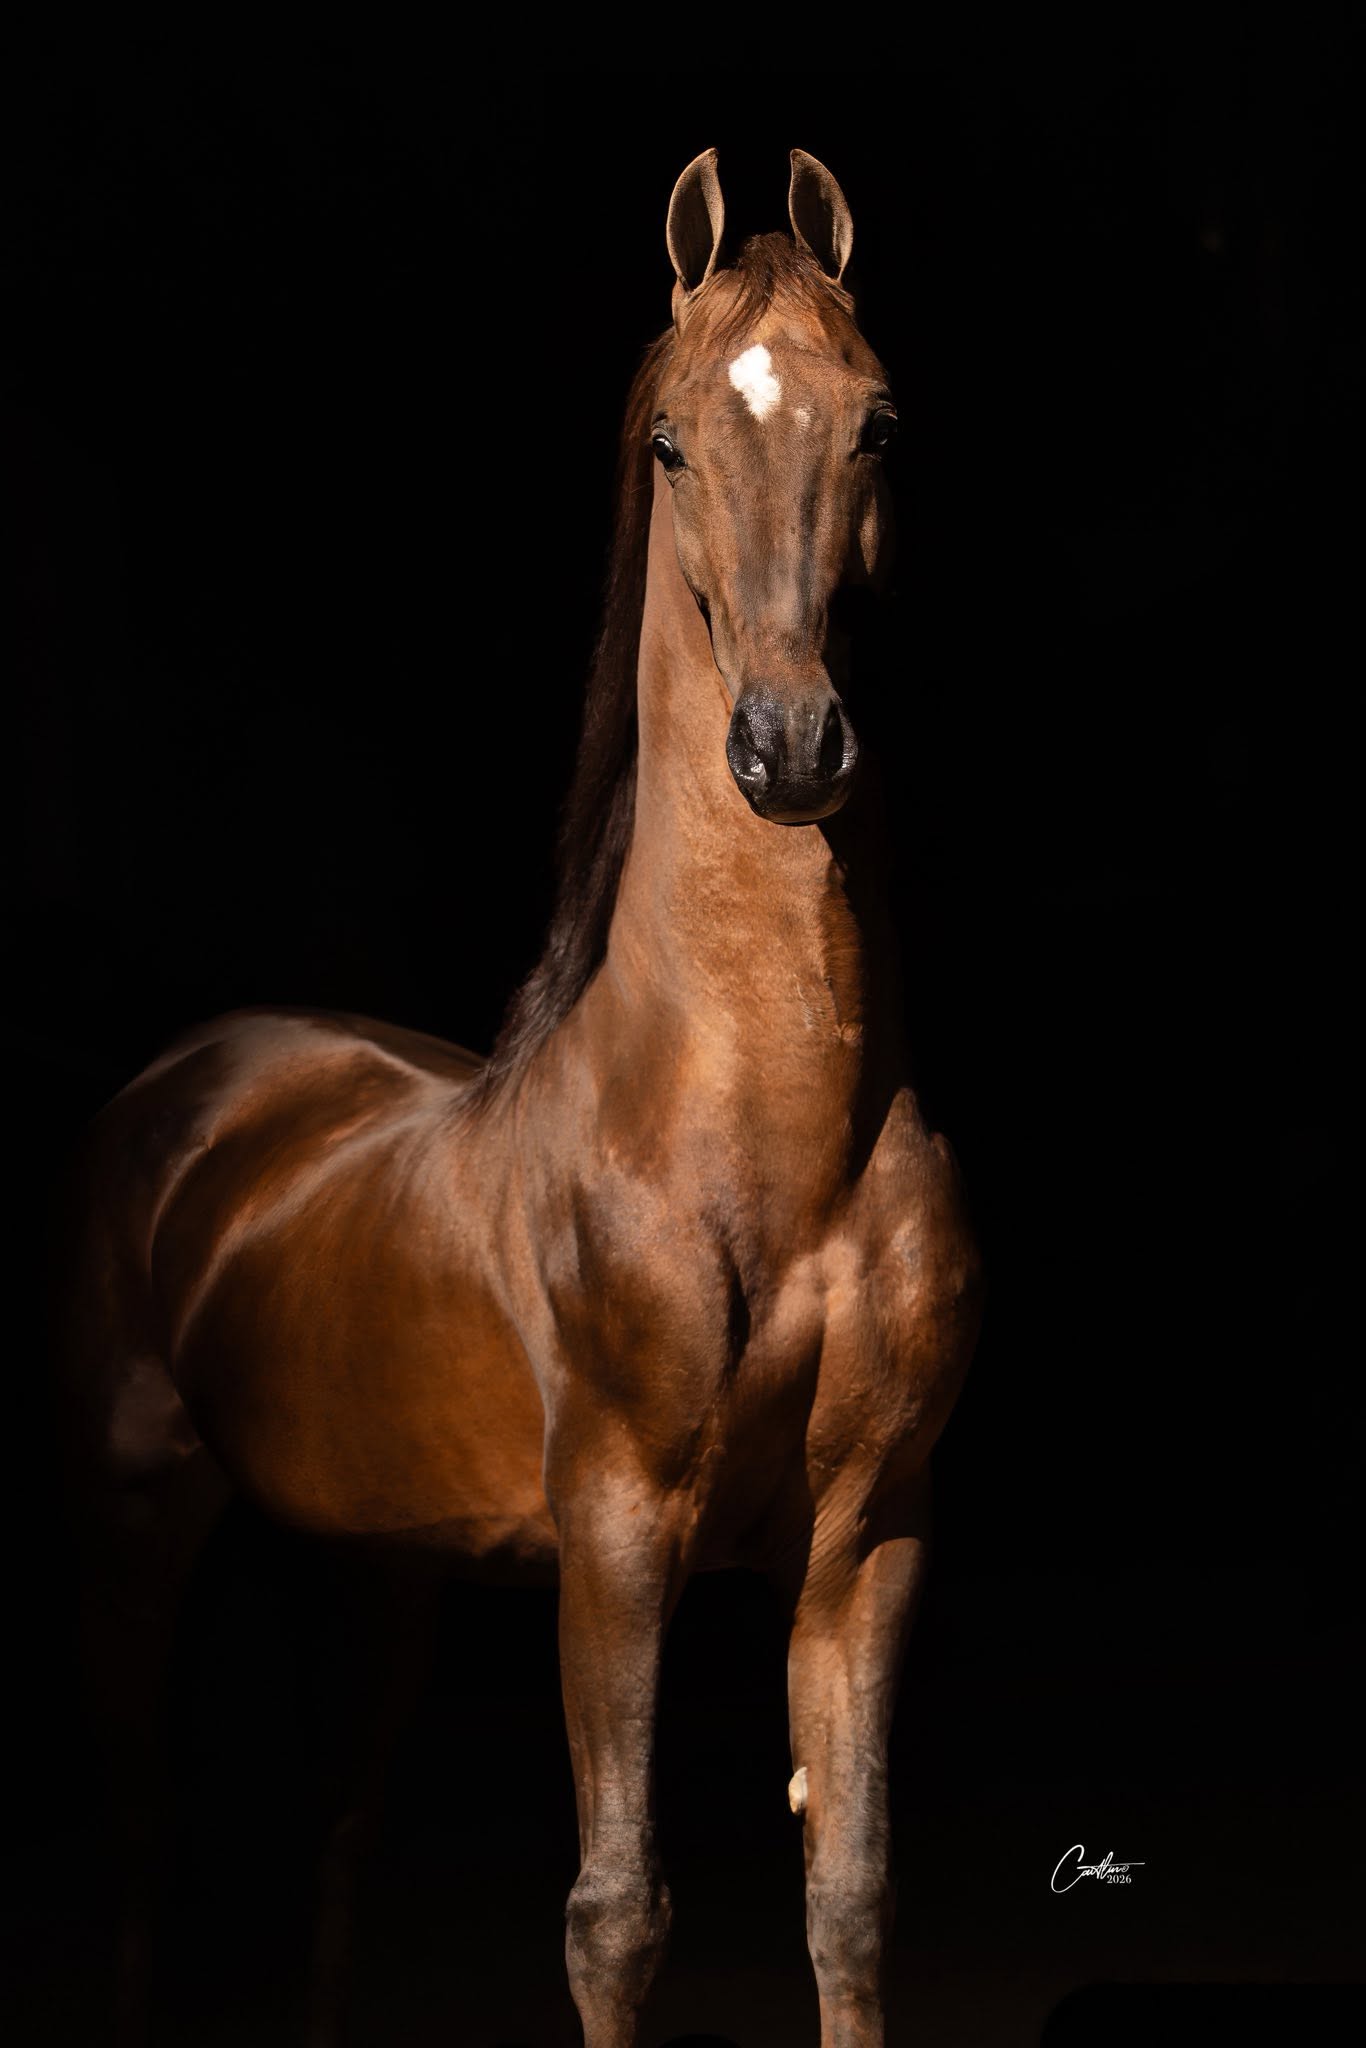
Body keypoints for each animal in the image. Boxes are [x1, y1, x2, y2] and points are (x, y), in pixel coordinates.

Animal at [60, 147, 982, 2048]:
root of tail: (180, 1087)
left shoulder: (869, 1535)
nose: (792, 746)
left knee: (335, 1839)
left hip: (382, 1569)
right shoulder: (615, 1528)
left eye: (878, 424)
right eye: (673, 443)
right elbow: (615, 1915)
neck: (758, 1130)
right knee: (145, 1840)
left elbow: (850, 1900)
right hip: (136, 1527)